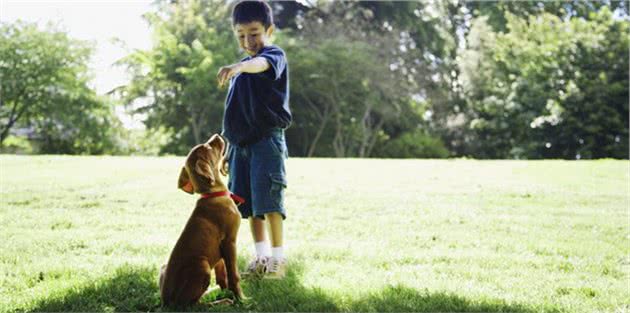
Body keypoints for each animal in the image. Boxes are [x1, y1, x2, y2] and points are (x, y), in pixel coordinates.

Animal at [159, 133, 246, 304]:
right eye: (208, 147)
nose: (218, 135)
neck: (213, 194)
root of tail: (166, 302)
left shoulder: (220, 253)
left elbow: (222, 277)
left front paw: (226, 292)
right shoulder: (229, 242)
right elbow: (234, 275)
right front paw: (242, 299)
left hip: (164, 267)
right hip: (203, 266)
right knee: (192, 304)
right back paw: (220, 302)